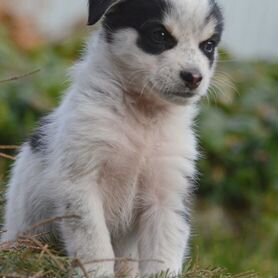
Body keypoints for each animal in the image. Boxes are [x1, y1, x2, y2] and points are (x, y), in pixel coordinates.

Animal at [1, 0, 224, 274]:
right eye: (159, 35)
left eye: (208, 45)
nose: (194, 77)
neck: (142, 117)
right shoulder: (80, 182)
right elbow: (95, 244)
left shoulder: (167, 194)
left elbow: (164, 254)